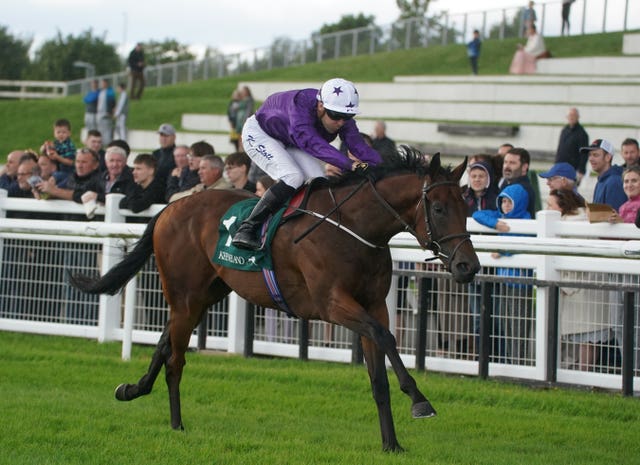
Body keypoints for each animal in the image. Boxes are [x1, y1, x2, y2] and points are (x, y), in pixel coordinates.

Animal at [71, 148, 480, 450]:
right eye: (439, 208)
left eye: (468, 208)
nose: (468, 266)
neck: (355, 228)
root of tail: (169, 208)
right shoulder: (332, 304)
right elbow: (386, 337)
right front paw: (420, 401)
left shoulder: (374, 304)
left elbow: (377, 374)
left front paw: (391, 443)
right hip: (185, 293)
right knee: (175, 358)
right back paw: (176, 424)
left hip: (205, 293)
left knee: (164, 341)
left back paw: (132, 389)